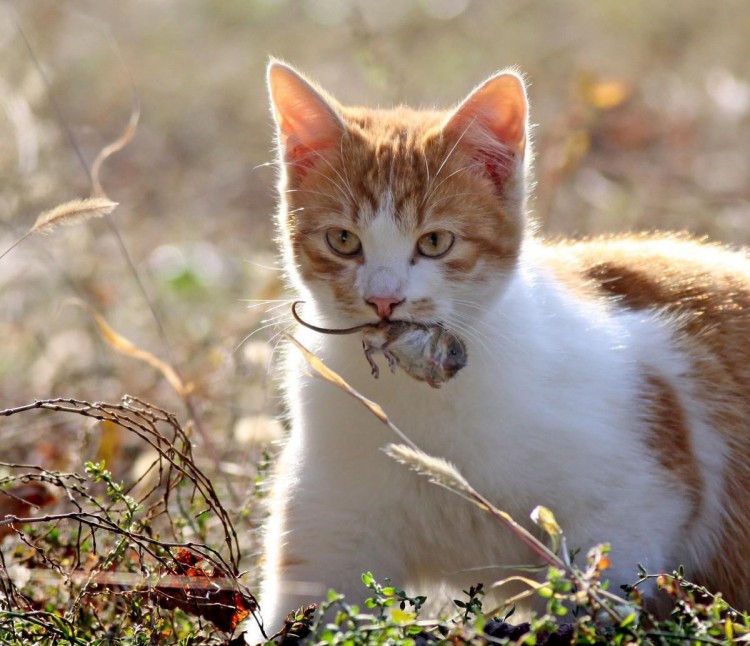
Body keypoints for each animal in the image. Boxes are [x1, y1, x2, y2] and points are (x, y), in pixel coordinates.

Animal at [244, 59, 750, 644]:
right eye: (343, 240)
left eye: (435, 241)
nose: (384, 299)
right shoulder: (330, 528)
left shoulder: (636, 501)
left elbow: (603, 597)